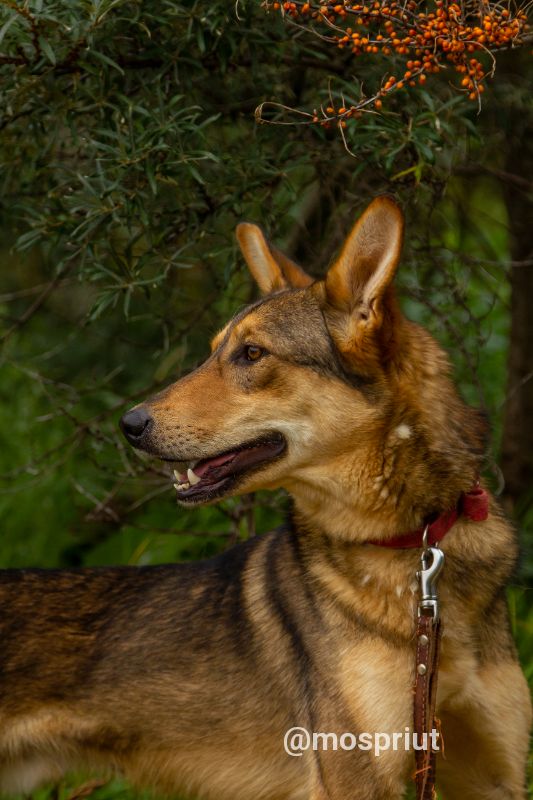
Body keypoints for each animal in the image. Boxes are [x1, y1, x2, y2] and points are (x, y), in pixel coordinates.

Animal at [0, 195, 528, 800]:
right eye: (213, 353)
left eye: (252, 353)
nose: (128, 425)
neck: (410, 548)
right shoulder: (357, 777)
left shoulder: (493, 776)